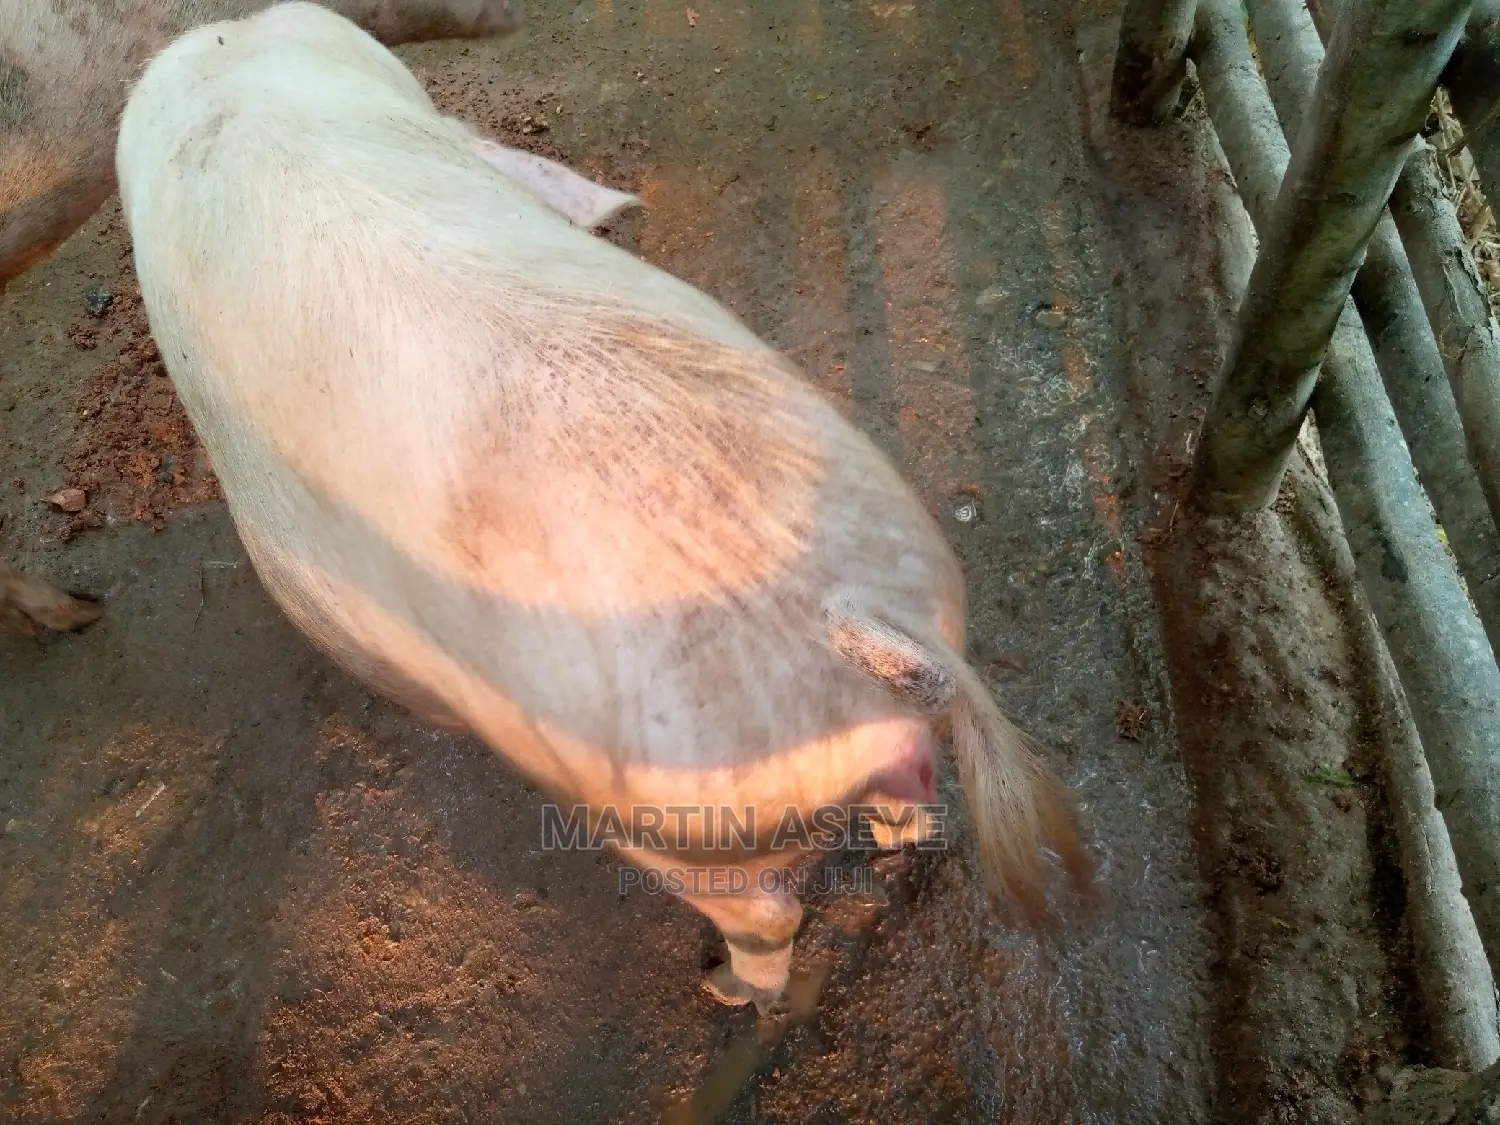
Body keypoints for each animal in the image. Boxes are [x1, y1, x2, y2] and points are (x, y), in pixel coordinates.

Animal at [114, 1, 1092, 1013]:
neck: (231, 85)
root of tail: (855, 615)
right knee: (909, 804)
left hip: (682, 821)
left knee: (764, 912)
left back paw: (727, 993)